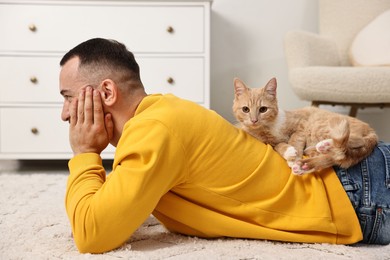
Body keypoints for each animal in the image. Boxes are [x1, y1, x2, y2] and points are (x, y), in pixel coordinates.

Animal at [233, 77, 380, 175]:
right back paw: (310, 159)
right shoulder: (269, 143)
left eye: (263, 109)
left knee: (355, 141)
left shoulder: (301, 127)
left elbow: (294, 140)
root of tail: (372, 131)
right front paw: (289, 154)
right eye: (245, 109)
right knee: (335, 157)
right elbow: (278, 146)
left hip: (319, 125)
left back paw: (324, 145)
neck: (270, 126)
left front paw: (293, 156)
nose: (254, 120)